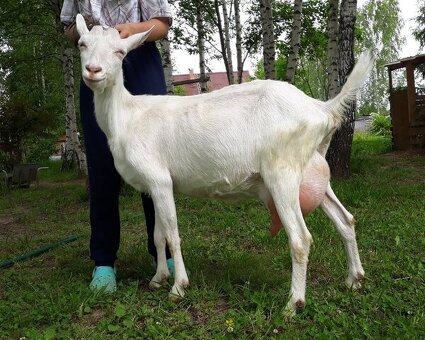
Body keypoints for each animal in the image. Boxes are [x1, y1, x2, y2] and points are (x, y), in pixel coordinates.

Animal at [76, 13, 372, 316]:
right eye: (81, 44)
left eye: (120, 52)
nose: (93, 70)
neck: (127, 117)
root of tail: (322, 109)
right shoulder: (153, 186)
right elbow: (159, 235)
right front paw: (158, 278)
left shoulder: (159, 179)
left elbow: (172, 234)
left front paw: (179, 287)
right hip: (313, 173)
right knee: (346, 219)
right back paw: (354, 279)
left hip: (283, 172)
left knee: (301, 238)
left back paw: (293, 304)